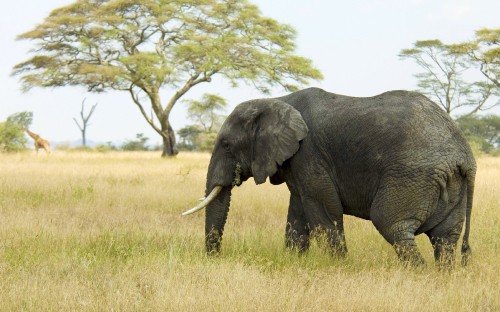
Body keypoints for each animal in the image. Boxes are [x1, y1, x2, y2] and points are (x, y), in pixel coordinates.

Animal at [184, 88, 476, 268]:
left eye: (226, 145)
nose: (214, 258)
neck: (277, 100)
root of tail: (465, 154)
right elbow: (298, 213)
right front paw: (294, 262)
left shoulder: (309, 154)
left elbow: (324, 212)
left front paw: (339, 266)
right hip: (449, 182)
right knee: (445, 238)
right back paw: (441, 276)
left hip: (413, 175)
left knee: (392, 224)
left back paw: (418, 274)